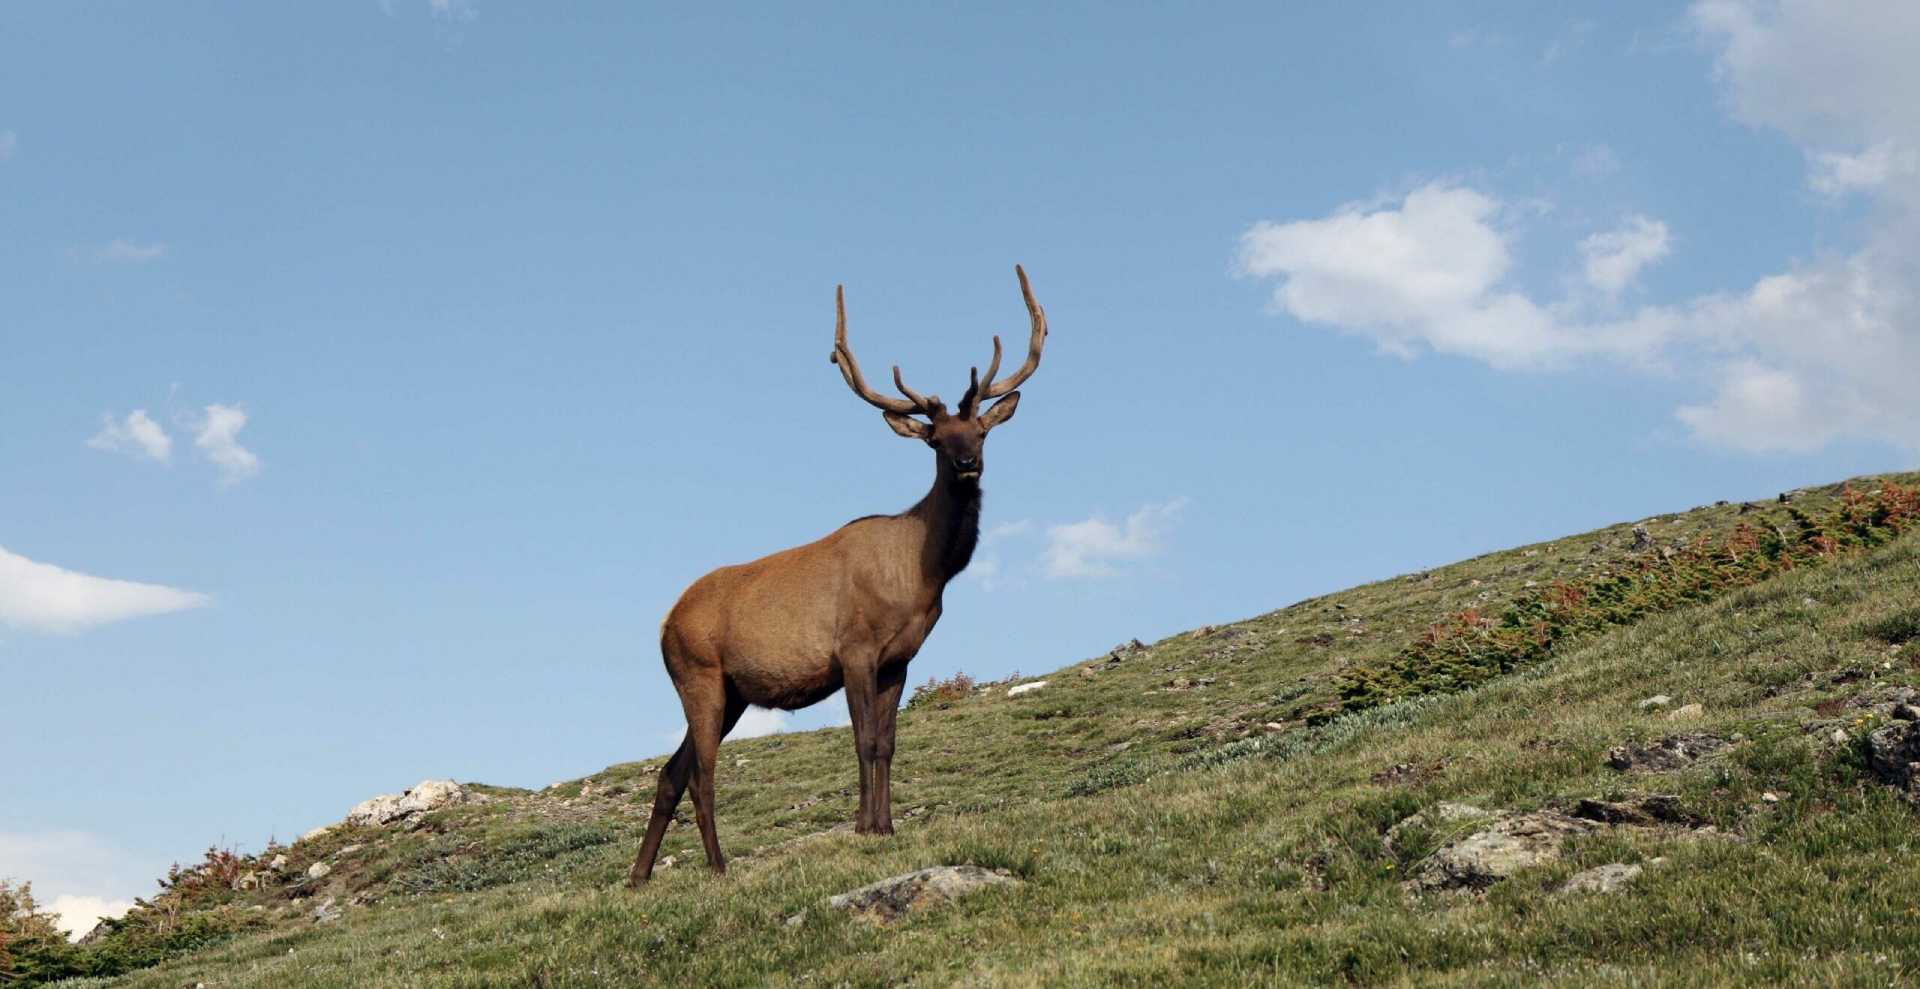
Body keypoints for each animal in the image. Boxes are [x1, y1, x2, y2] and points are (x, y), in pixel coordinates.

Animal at [625, 266, 1049, 886]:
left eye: (981, 432)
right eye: (936, 441)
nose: (967, 464)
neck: (923, 575)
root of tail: (662, 625)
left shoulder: (900, 658)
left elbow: (889, 743)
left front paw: (887, 826)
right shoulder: (855, 648)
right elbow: (864, 740)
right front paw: (865, 828)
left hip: (730, 694)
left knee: (669, 772)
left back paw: (638, 877)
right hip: (699, 675)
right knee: (702, 774)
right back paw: (719, 867)